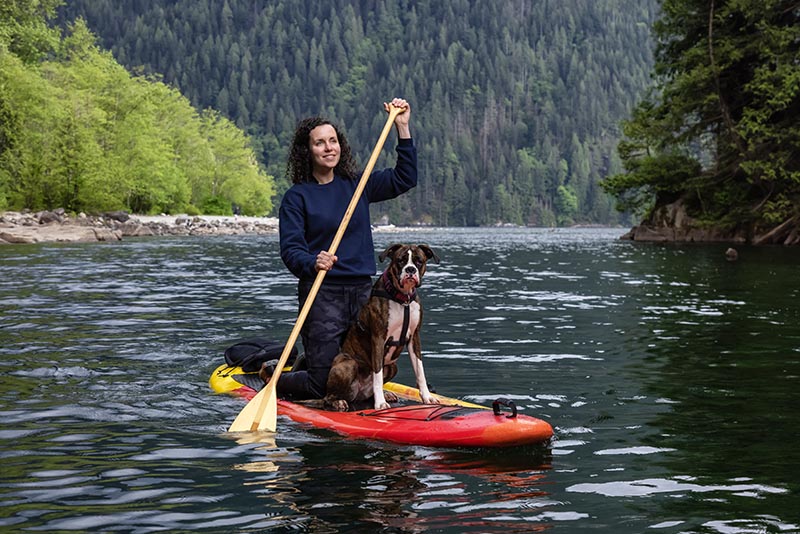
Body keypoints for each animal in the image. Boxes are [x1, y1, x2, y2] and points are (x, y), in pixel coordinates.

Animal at [322, 245, 440, 412]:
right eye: (400, 260)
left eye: (419, 261)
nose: (410, 269)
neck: (402, 299)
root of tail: (358, 394)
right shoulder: (378, 338)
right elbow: (377, 373)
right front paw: (380, 403)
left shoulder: (414, 337)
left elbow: (420, 370)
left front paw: (427, 397)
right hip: (348, 365)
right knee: (328, 396)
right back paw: (338, 402)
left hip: (392, 367)